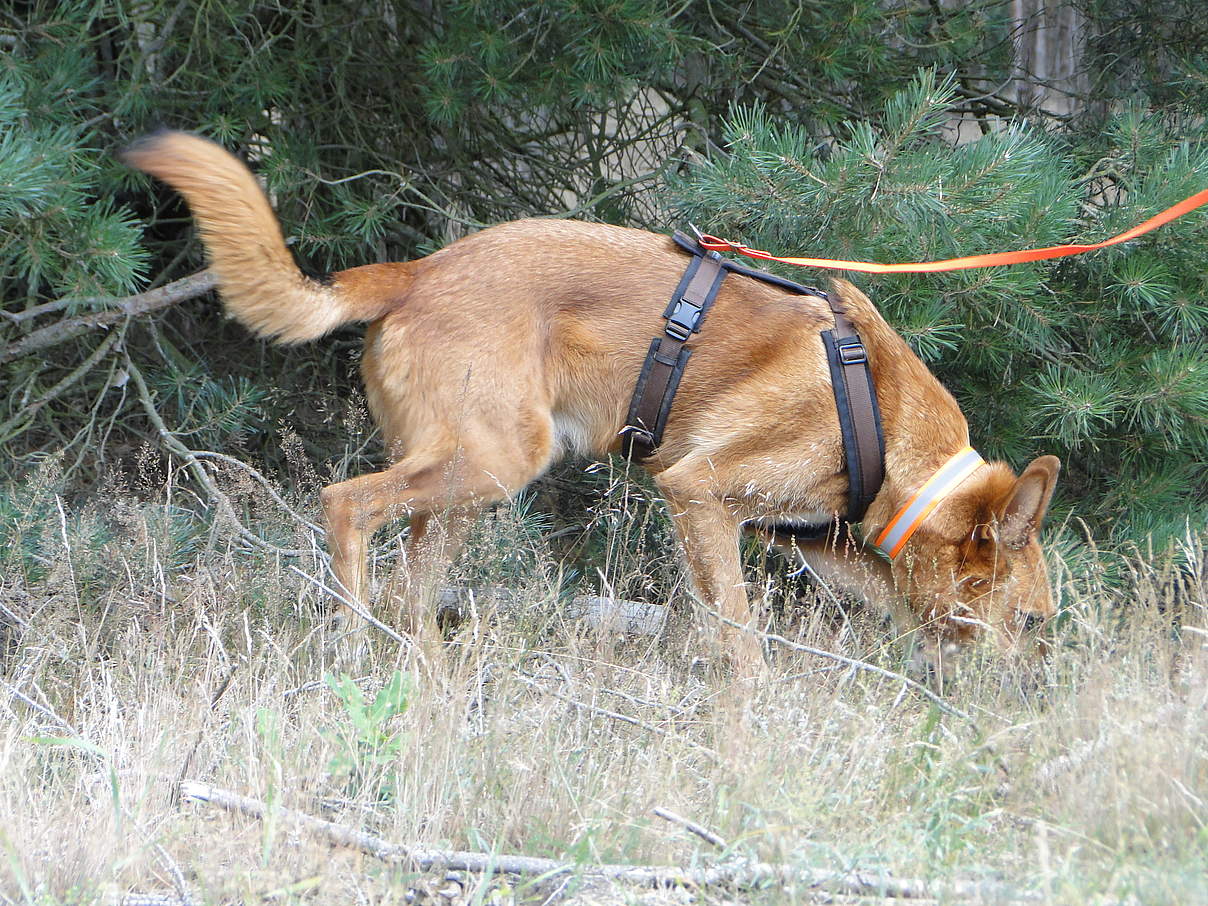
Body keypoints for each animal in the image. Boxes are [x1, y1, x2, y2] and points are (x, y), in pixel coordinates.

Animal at [127, 131, 1063, 671]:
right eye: (1032, 622)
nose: (1024, 703)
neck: (888, 425)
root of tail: (417, 273)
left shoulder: (807, 538)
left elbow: (880, 600)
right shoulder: (698, 494)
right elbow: (740, 635)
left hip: (465, 491)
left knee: (411, 589)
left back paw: (425, 680)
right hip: (493, 463)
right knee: (345, 505)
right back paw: (354, 650)